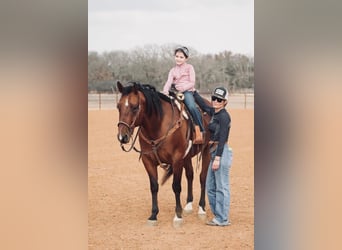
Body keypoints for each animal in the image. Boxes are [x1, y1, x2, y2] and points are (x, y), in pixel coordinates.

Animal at [116, 81, 210, 226]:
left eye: (135, 107)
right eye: (118, 107)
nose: (122, 137)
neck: (158, 126)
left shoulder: (177, 160)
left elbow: (176, 186)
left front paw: (178, 215)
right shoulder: (148, 160)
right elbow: (154, 186)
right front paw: (153, 215)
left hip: (208, 150)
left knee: (202, 177)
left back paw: (201, 208)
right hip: (187, 157)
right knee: (190, 175)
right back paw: (188, 205)